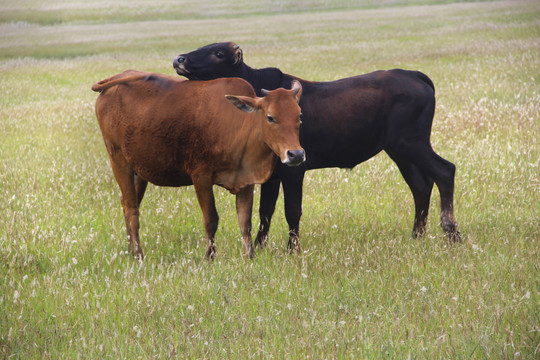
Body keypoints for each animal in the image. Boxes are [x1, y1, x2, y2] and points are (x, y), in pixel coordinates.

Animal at [90, 69, 306, 258]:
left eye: (299, 116)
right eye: (270, 117)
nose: (296, 154)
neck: (238, 124)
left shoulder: (246, 181)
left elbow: (245, 222)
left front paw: (250, 257)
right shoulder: (201, 177)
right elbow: (211, 219)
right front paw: (209, 257)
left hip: (139, 171)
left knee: (128, 205)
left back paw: (130, 250)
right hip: (119, 161)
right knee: (131, 208)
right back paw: (137, 255)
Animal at [174, 42, 464, 250]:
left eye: (218, 52)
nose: (179, 59)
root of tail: (414, 75)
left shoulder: (293, 168)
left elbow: (292, 210)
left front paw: (292, 250)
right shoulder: (273, 174)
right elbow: (265, 212)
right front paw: (260, 247)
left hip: (413, 143)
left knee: (444, 171)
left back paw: (451, 232)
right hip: (399, 150)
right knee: (420, 186)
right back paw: (417, 236)